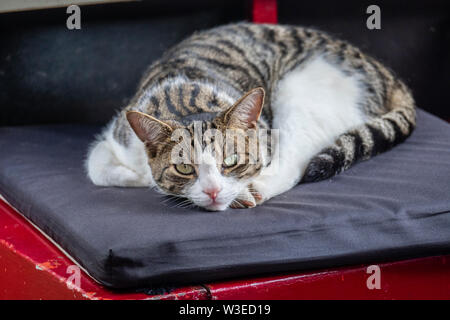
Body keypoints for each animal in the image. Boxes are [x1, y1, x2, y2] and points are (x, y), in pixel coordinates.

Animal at [86, 23, 416, 211]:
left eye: (231, 161)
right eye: (184, 168)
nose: (213, 190)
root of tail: (383, 70)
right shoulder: (115, 137)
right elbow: (97, 168)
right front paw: (144, 178)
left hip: (301, 89)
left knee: (298, 156)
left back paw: (254, 190)